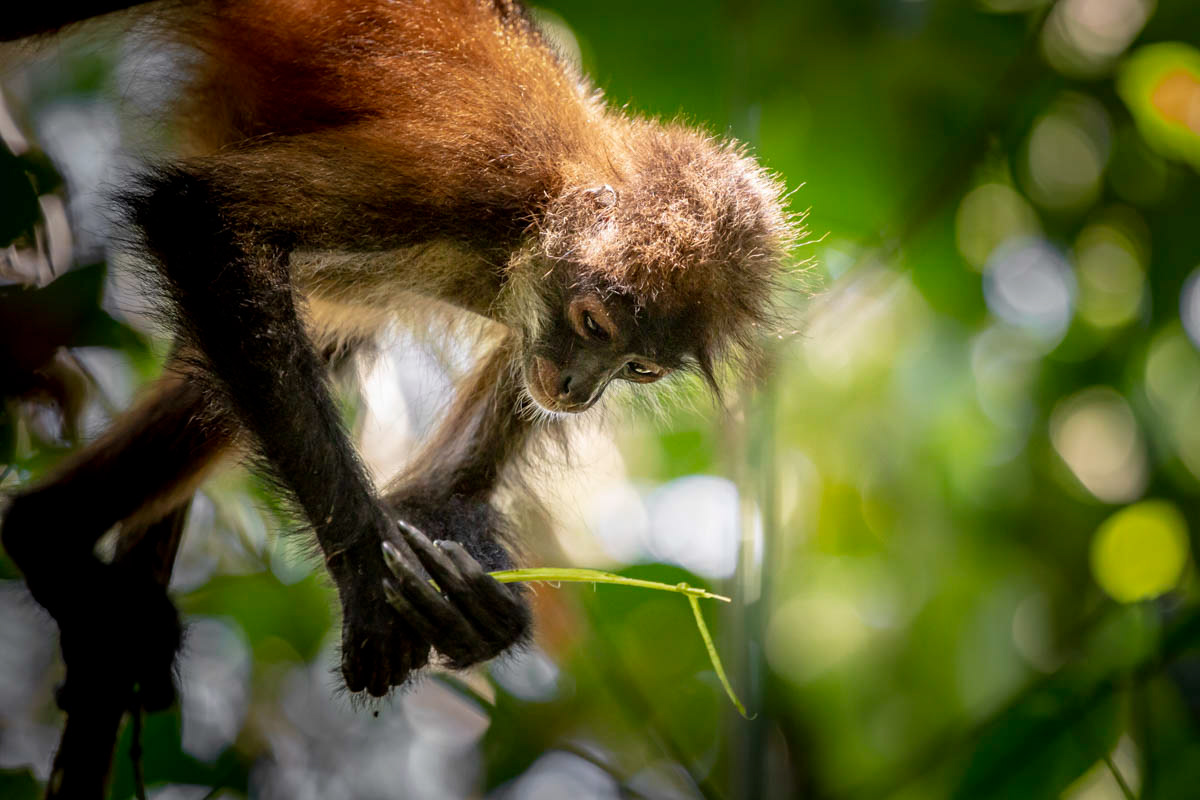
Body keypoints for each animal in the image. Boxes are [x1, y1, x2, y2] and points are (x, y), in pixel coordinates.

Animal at [0, 0, 796, 713]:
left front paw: (475, 598)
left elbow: (446, 484)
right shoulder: (465, 179)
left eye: (640, 369)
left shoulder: (528, 328)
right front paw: (366, 576)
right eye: (595, 323)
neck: (548, 193)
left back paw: (48, 536)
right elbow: (197, 218)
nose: (579, 390)